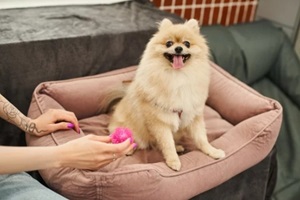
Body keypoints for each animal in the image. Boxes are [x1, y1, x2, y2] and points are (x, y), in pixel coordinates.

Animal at [108, 18, 225, 170]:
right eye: (169, 43)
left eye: (187, 43)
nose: (178, 48)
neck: (178, 76)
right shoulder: (160, 122)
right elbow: (167, 144)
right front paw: (173, 161)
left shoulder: (193, 115)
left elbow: (202, 138)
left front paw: (212, 151)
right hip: (130, 131)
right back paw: (130, 149)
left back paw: (179, 147)